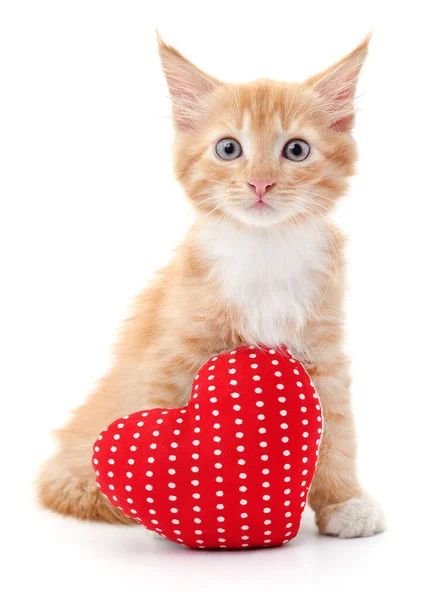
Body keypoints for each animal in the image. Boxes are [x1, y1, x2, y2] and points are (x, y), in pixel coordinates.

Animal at [37, 35, 386, 536]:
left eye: (296, 150)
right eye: (228, 148)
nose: (260, 184)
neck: (264, 249)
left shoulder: (324, 350)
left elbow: (337, 430)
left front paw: (344, 501)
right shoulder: (172, 352)